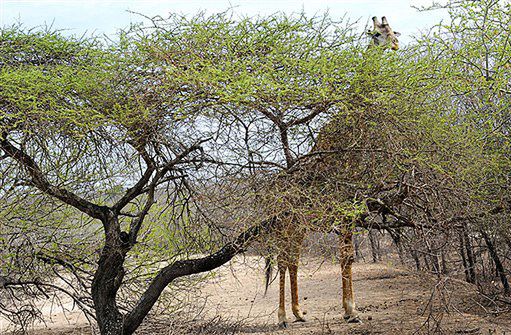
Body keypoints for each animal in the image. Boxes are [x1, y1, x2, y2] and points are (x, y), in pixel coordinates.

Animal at [266, 17, 402, 330]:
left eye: (392, 31)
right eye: (376, 34)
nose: (395, 45)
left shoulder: (352, 207)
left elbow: (348, 257)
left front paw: (350, 309)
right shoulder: (343, 208)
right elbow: (346, 257)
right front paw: (351, 311)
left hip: (300, 226)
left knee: (293, 259)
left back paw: (298, 313)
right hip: (285, 224)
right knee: (282, 260)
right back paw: (281, 317)